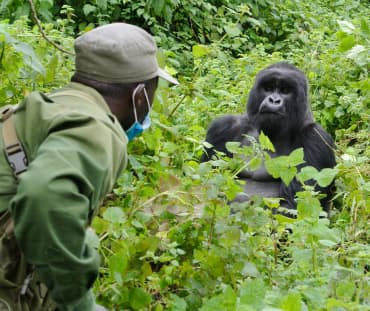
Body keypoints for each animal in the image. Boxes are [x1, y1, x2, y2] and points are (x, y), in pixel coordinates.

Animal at [201, 62, 336, 211]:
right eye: (268, 88)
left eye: (285, 90)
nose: (274, 100)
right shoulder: (222, 128)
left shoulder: (316, 139)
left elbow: (294, 205)